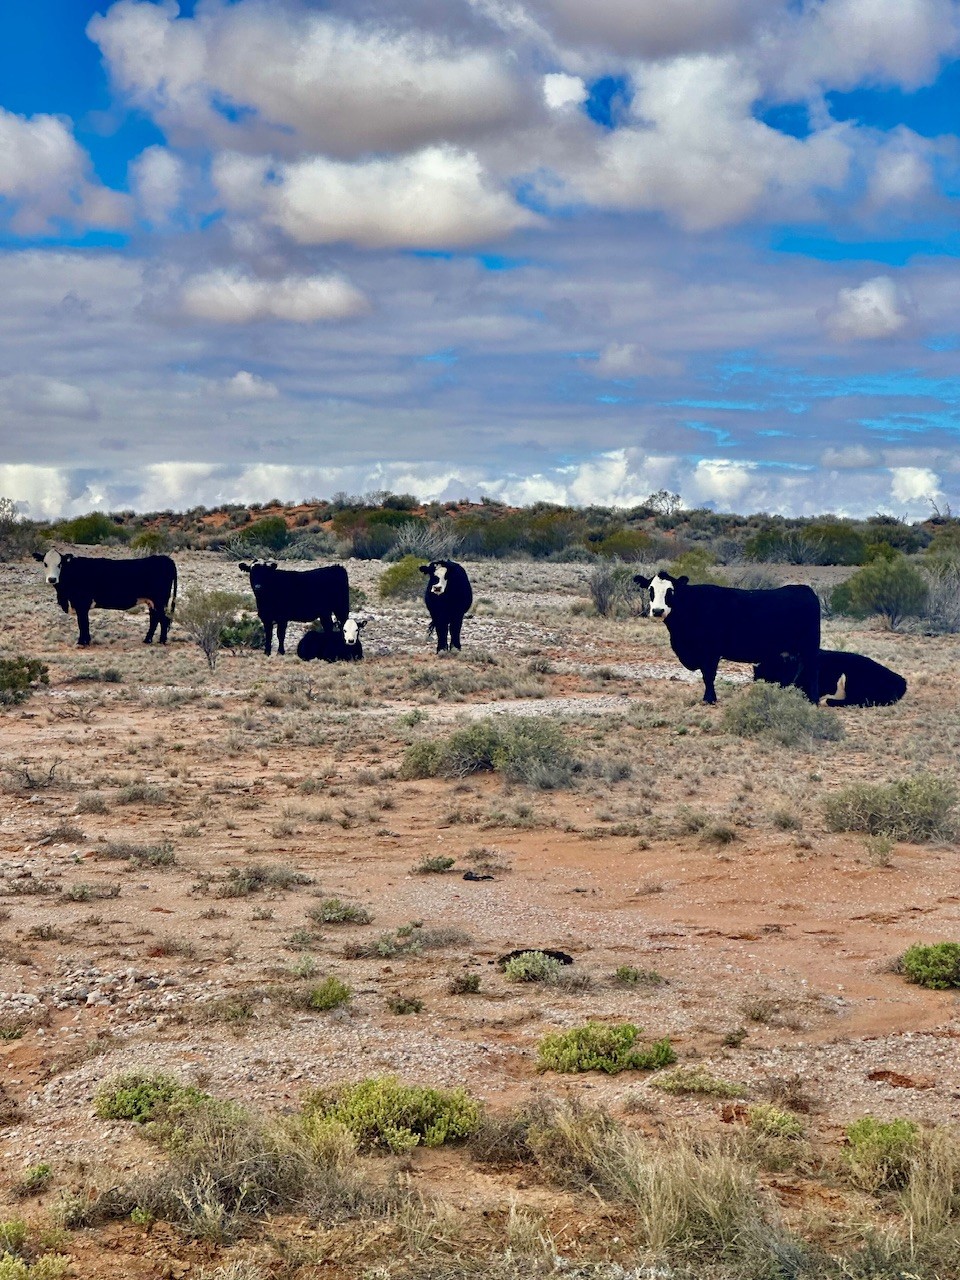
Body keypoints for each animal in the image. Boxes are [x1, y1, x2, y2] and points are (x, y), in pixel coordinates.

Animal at [32, 545, 179, 645]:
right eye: (45, 563)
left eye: (60, 564)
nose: (52, 579)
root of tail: (166, 559)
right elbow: (84, 623)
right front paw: (86, 641)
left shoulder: (81, 603)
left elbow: (82, 623)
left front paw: (82, 642)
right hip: (151, 601)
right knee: (155, 619)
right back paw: (147, 639)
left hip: (160, 600)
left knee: (163, 619)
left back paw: (162, 641)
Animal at [634, 573, 824, 706]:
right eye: (650, 590)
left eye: (670, 591)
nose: (658, 611)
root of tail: (805, 590)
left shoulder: (710, 652)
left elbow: (708, 675)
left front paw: (709, 699)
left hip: (810, 645)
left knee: (812, 668)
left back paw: (813, 700)